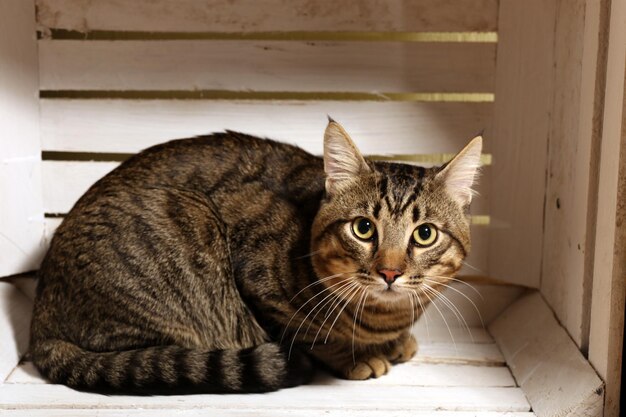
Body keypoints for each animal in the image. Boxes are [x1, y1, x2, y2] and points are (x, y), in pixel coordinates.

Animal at [29, 119, 480, 394]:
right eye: (363, 228)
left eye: (424, 234)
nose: (389, 271)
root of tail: (40, 323)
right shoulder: (254, 269)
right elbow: (312, 334)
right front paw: (354, 356)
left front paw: (395, 343)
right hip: (186, 229)